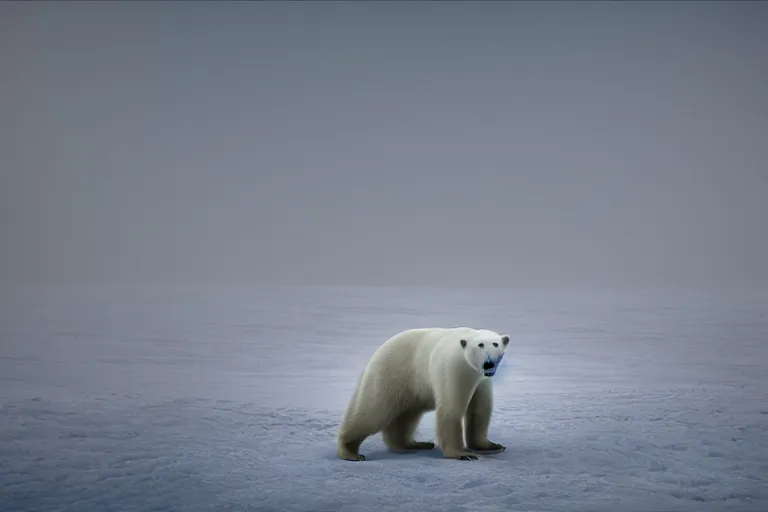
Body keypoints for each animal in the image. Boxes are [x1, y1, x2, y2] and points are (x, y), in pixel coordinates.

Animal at [338, 326, 510, 462]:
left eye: (495, 344)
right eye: (480, 345)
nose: (488, 363)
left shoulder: (481, 380)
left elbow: (479, 410)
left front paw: (491, 446)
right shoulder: (454, 369)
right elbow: (451, 409)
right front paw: (463, 454)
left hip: (410, 388)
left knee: (406, 416)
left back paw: (415, 444)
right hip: (390, 374)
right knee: (372, 412)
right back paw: (350, 452)